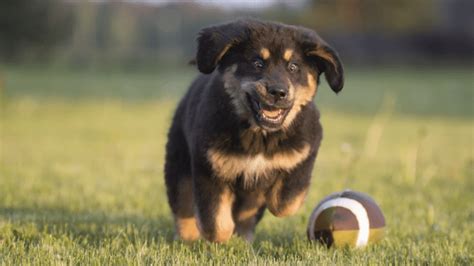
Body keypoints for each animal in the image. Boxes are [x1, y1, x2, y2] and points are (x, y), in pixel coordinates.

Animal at [165, 18, 342, 243]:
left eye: (293, 67)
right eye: (258, 64)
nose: (278, 92)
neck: (260, 136)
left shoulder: (305, 151)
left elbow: (285, 202)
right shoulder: (209, 167)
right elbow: (215, 221)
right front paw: (220, 236)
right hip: (178, 166)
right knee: (183, 206)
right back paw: (188, 239)